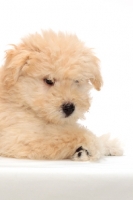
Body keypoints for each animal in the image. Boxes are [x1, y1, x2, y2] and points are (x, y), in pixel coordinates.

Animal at [0, 30, 122, 160]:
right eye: (49, 80)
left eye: (76, 81)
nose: (69, 108)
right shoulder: (20, 136)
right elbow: (64, 134)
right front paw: (94, 145)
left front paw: (109, 145)